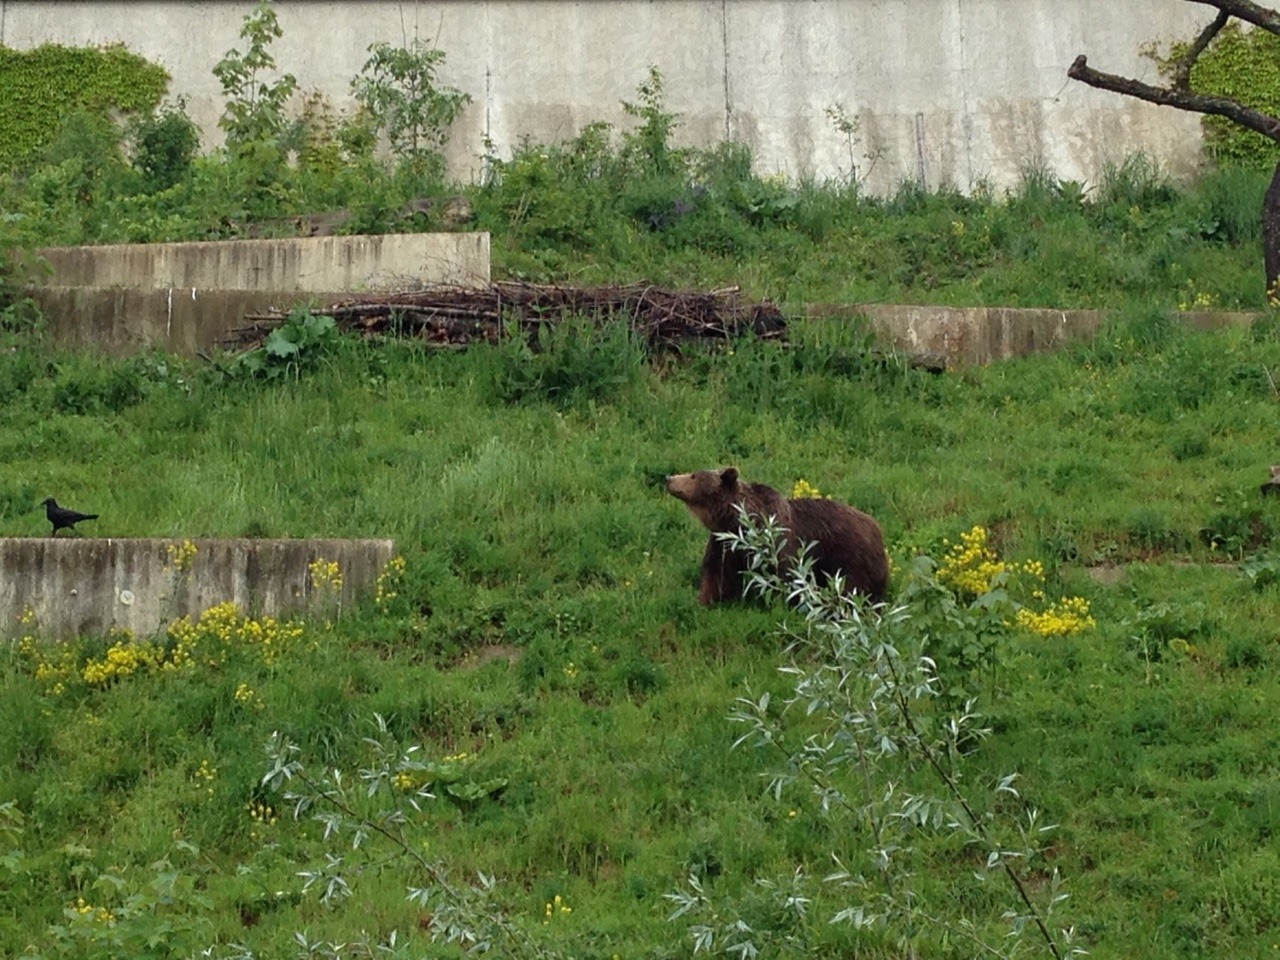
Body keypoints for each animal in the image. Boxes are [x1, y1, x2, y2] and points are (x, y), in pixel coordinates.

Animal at [666, 466, 889, 606]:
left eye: (694, 475)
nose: (669, 479)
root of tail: (878, 529)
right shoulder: (725, 543)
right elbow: (717, 574)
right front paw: (705, 601)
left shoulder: (778, 541)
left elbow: (784, 575)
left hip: (851, 556)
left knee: (852, 587)